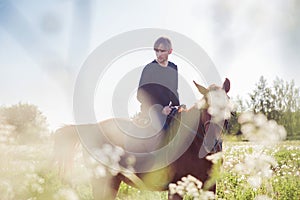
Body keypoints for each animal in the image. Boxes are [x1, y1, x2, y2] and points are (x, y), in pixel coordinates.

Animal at [53, 79, 230, 199]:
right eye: (206, 106)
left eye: (227, 105)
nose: (213, 143)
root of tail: (90, 127)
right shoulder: (176, 188)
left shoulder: (210, 187)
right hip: (101, 179)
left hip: (113, 181)